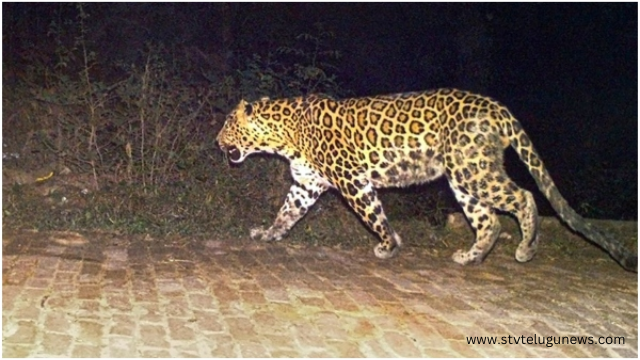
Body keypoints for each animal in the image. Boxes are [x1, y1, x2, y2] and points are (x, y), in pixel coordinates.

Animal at [218, 88, 636, 272]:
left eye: (227, 125)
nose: (217, 141)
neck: (283, 136)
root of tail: (496, 107)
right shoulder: (306, 185)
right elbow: (286, 213)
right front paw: (268, 234)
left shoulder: (353, 179)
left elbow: (373, 214)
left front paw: (389, 246)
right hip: (463, 178)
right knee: (490, 221)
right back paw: (471, 256)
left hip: (473, 170)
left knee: (524, 197)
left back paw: (526, 248)